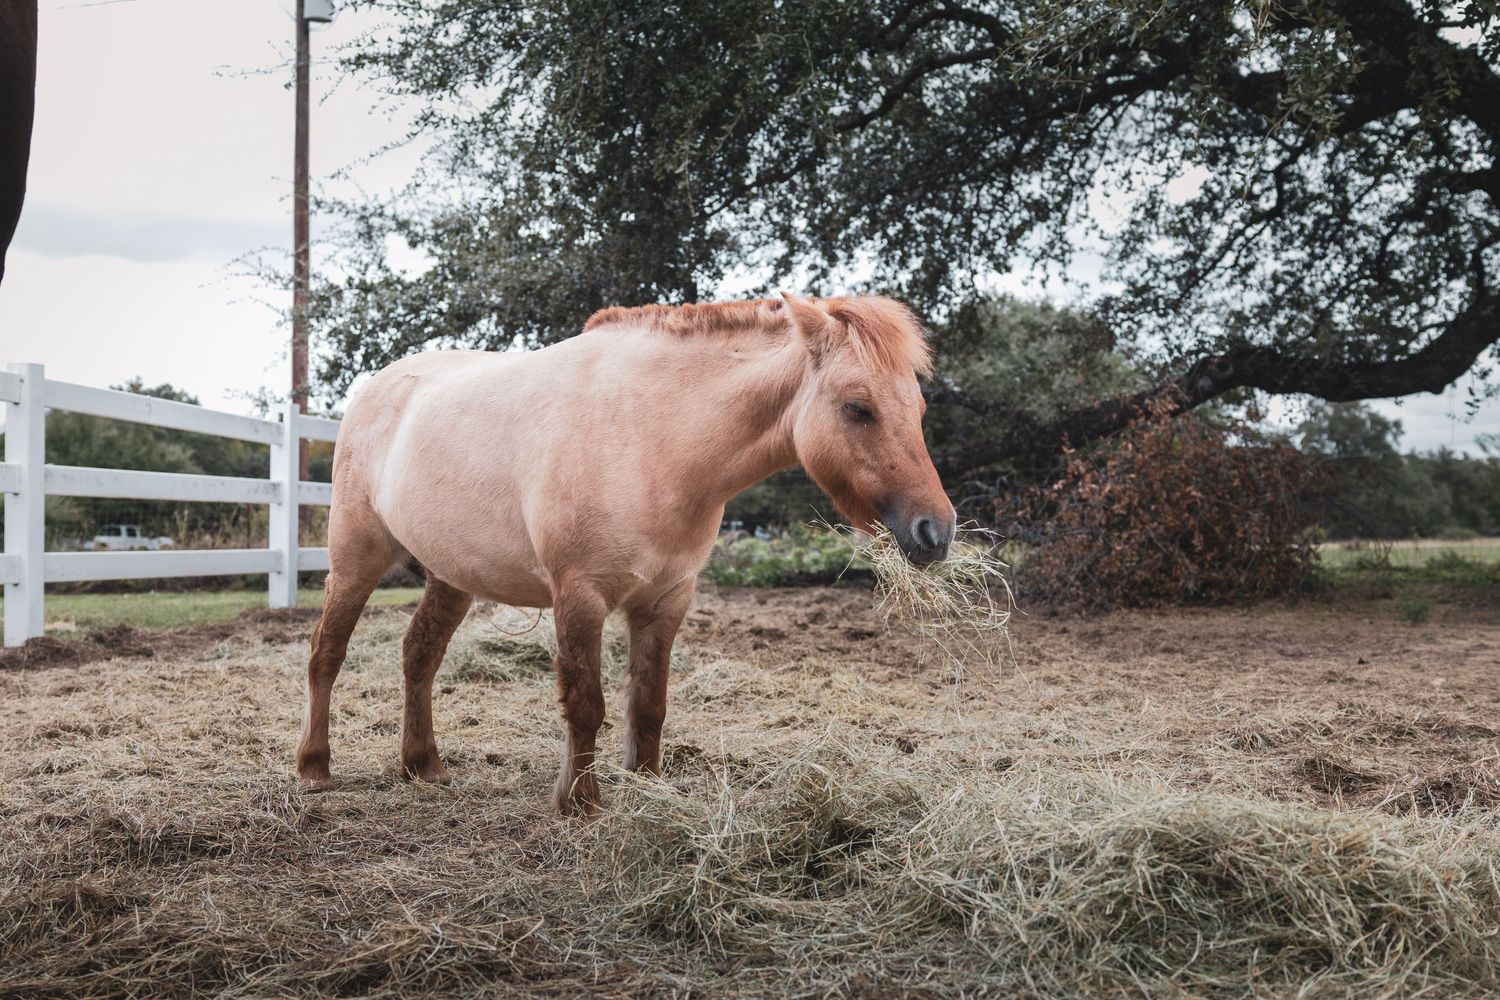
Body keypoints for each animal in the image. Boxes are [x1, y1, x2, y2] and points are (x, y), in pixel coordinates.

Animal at [296, 293, 956, 815]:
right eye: (857, 407)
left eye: (920, 410)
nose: (936, 532)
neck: (653, 440)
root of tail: (375, 389)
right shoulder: (580, 597)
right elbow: (586, 705)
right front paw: (580, 803)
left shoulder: (665, 601)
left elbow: (648, 704)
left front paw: (647, 784)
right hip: (355, 558)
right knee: (327, 653)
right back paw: (315, 768)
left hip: (451, 574)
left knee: (420, 656)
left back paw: (422, 764)